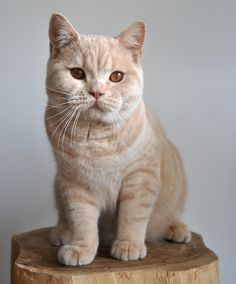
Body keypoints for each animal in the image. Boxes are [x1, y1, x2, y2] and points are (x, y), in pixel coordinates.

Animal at [45, 13, 191, 266]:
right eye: (77, 73)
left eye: (116, 76)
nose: (96, 92)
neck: (95, 137)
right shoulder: (75, 185)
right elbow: (81, 220)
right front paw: (81, 247)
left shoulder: (141, 179)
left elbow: (133, 216)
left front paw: (128, 244)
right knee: (65, 218)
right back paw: (62, 232)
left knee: (168, 216)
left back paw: (176, 229)